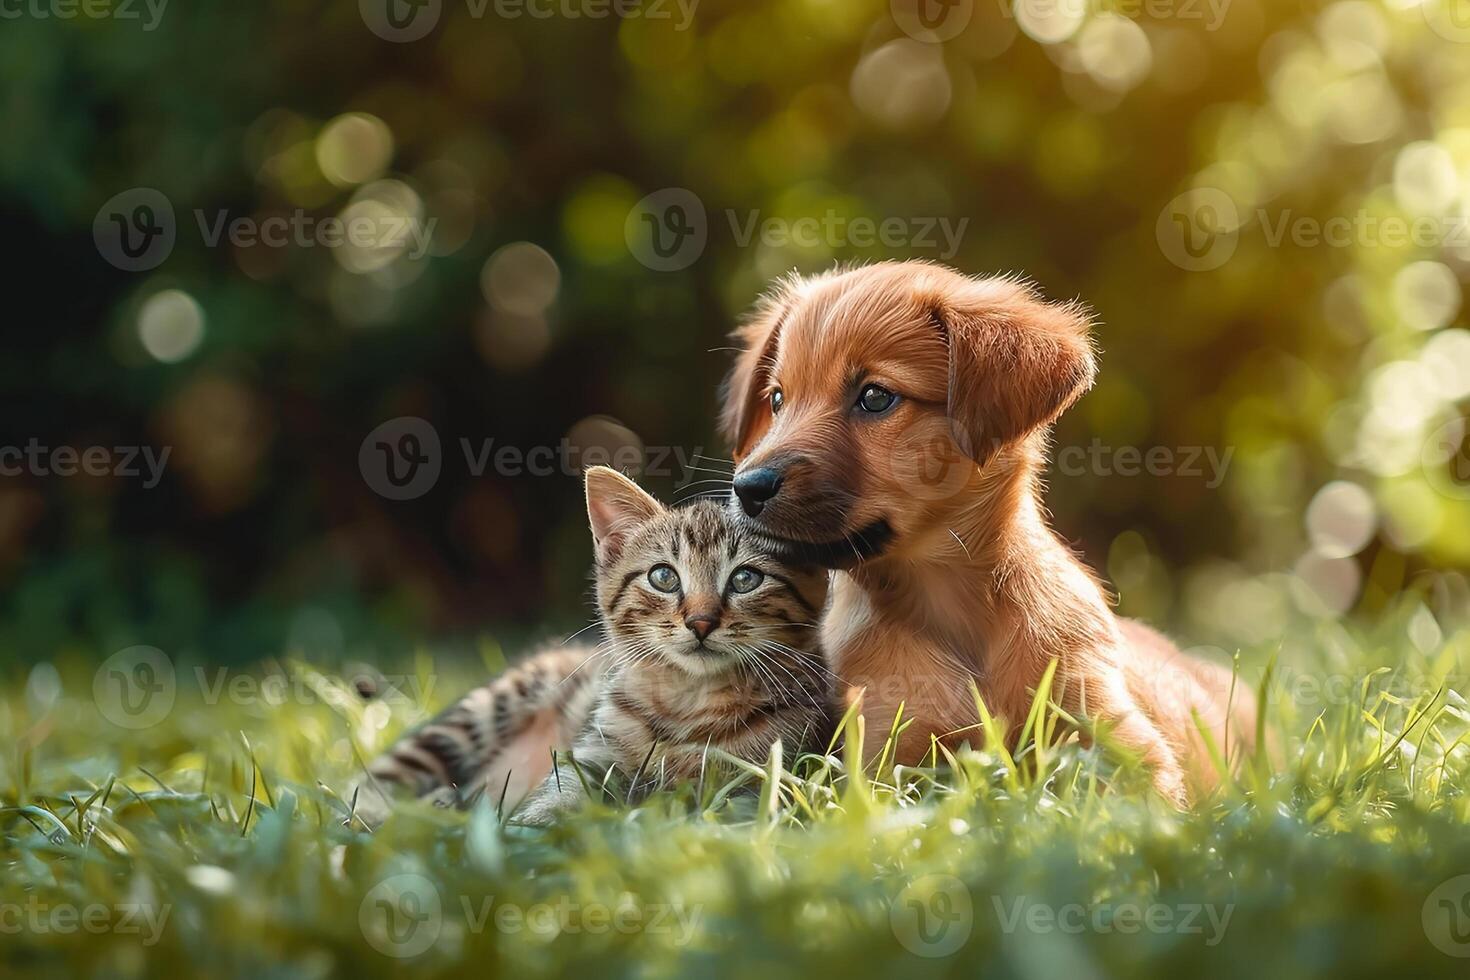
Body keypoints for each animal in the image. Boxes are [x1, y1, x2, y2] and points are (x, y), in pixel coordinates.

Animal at [517, 467, 840, 828]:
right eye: (663, 577)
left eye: (745, 579)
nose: (700, 622)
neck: (687, 702)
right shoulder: (594, 757)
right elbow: (560, 797)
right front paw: (537, 827)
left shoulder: (767, 773)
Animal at [720, 260, 1252, 805]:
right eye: (777, 399)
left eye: (875, 397)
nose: (747, 487)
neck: (957, 614)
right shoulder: (888, 756)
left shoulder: (1120, 744)